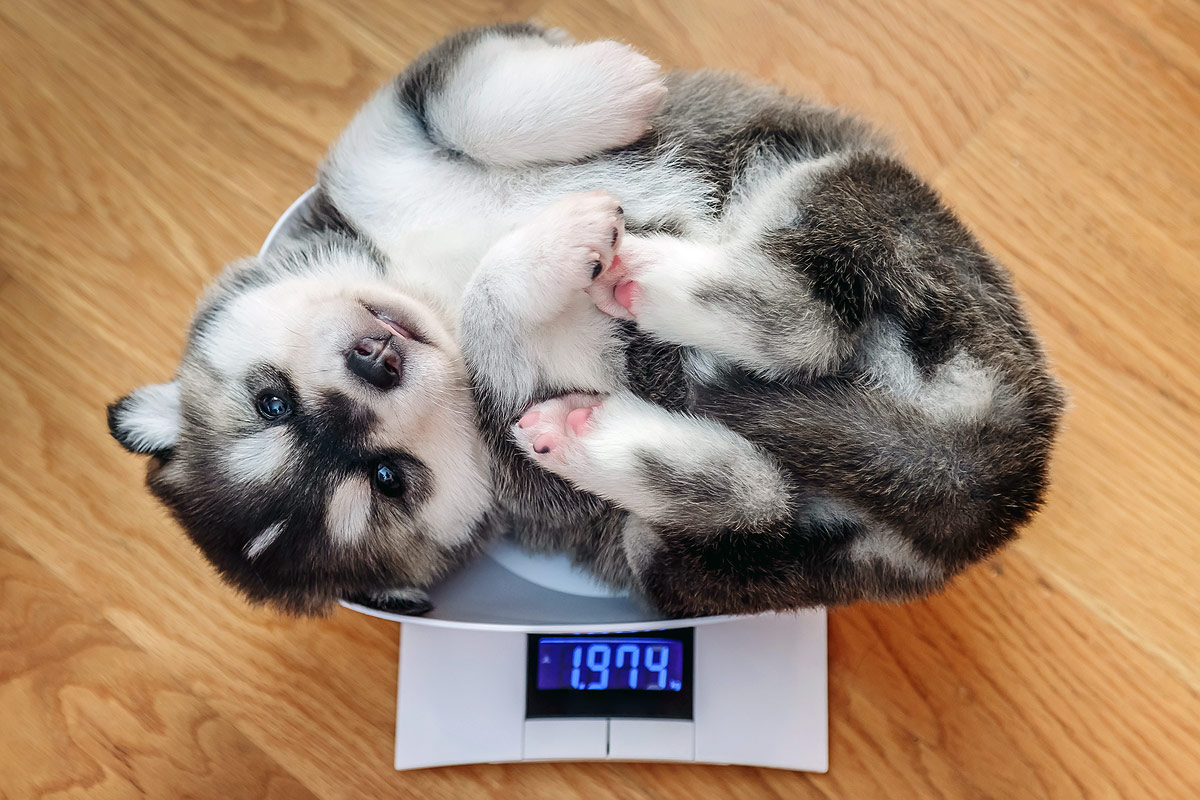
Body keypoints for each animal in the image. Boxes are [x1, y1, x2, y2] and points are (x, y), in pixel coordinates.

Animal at [105, 23, 1060, 614]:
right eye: (386, 480)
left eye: (272, 401)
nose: (377, 360)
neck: (421, 280)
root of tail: (998, 470)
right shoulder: (522, 431)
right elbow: (493, 319)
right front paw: (543, 255)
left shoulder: (393, 121)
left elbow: (467, 103)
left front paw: (620, 86)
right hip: (678, 562)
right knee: (768, 433)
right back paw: (622, 359)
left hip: (842, 185)